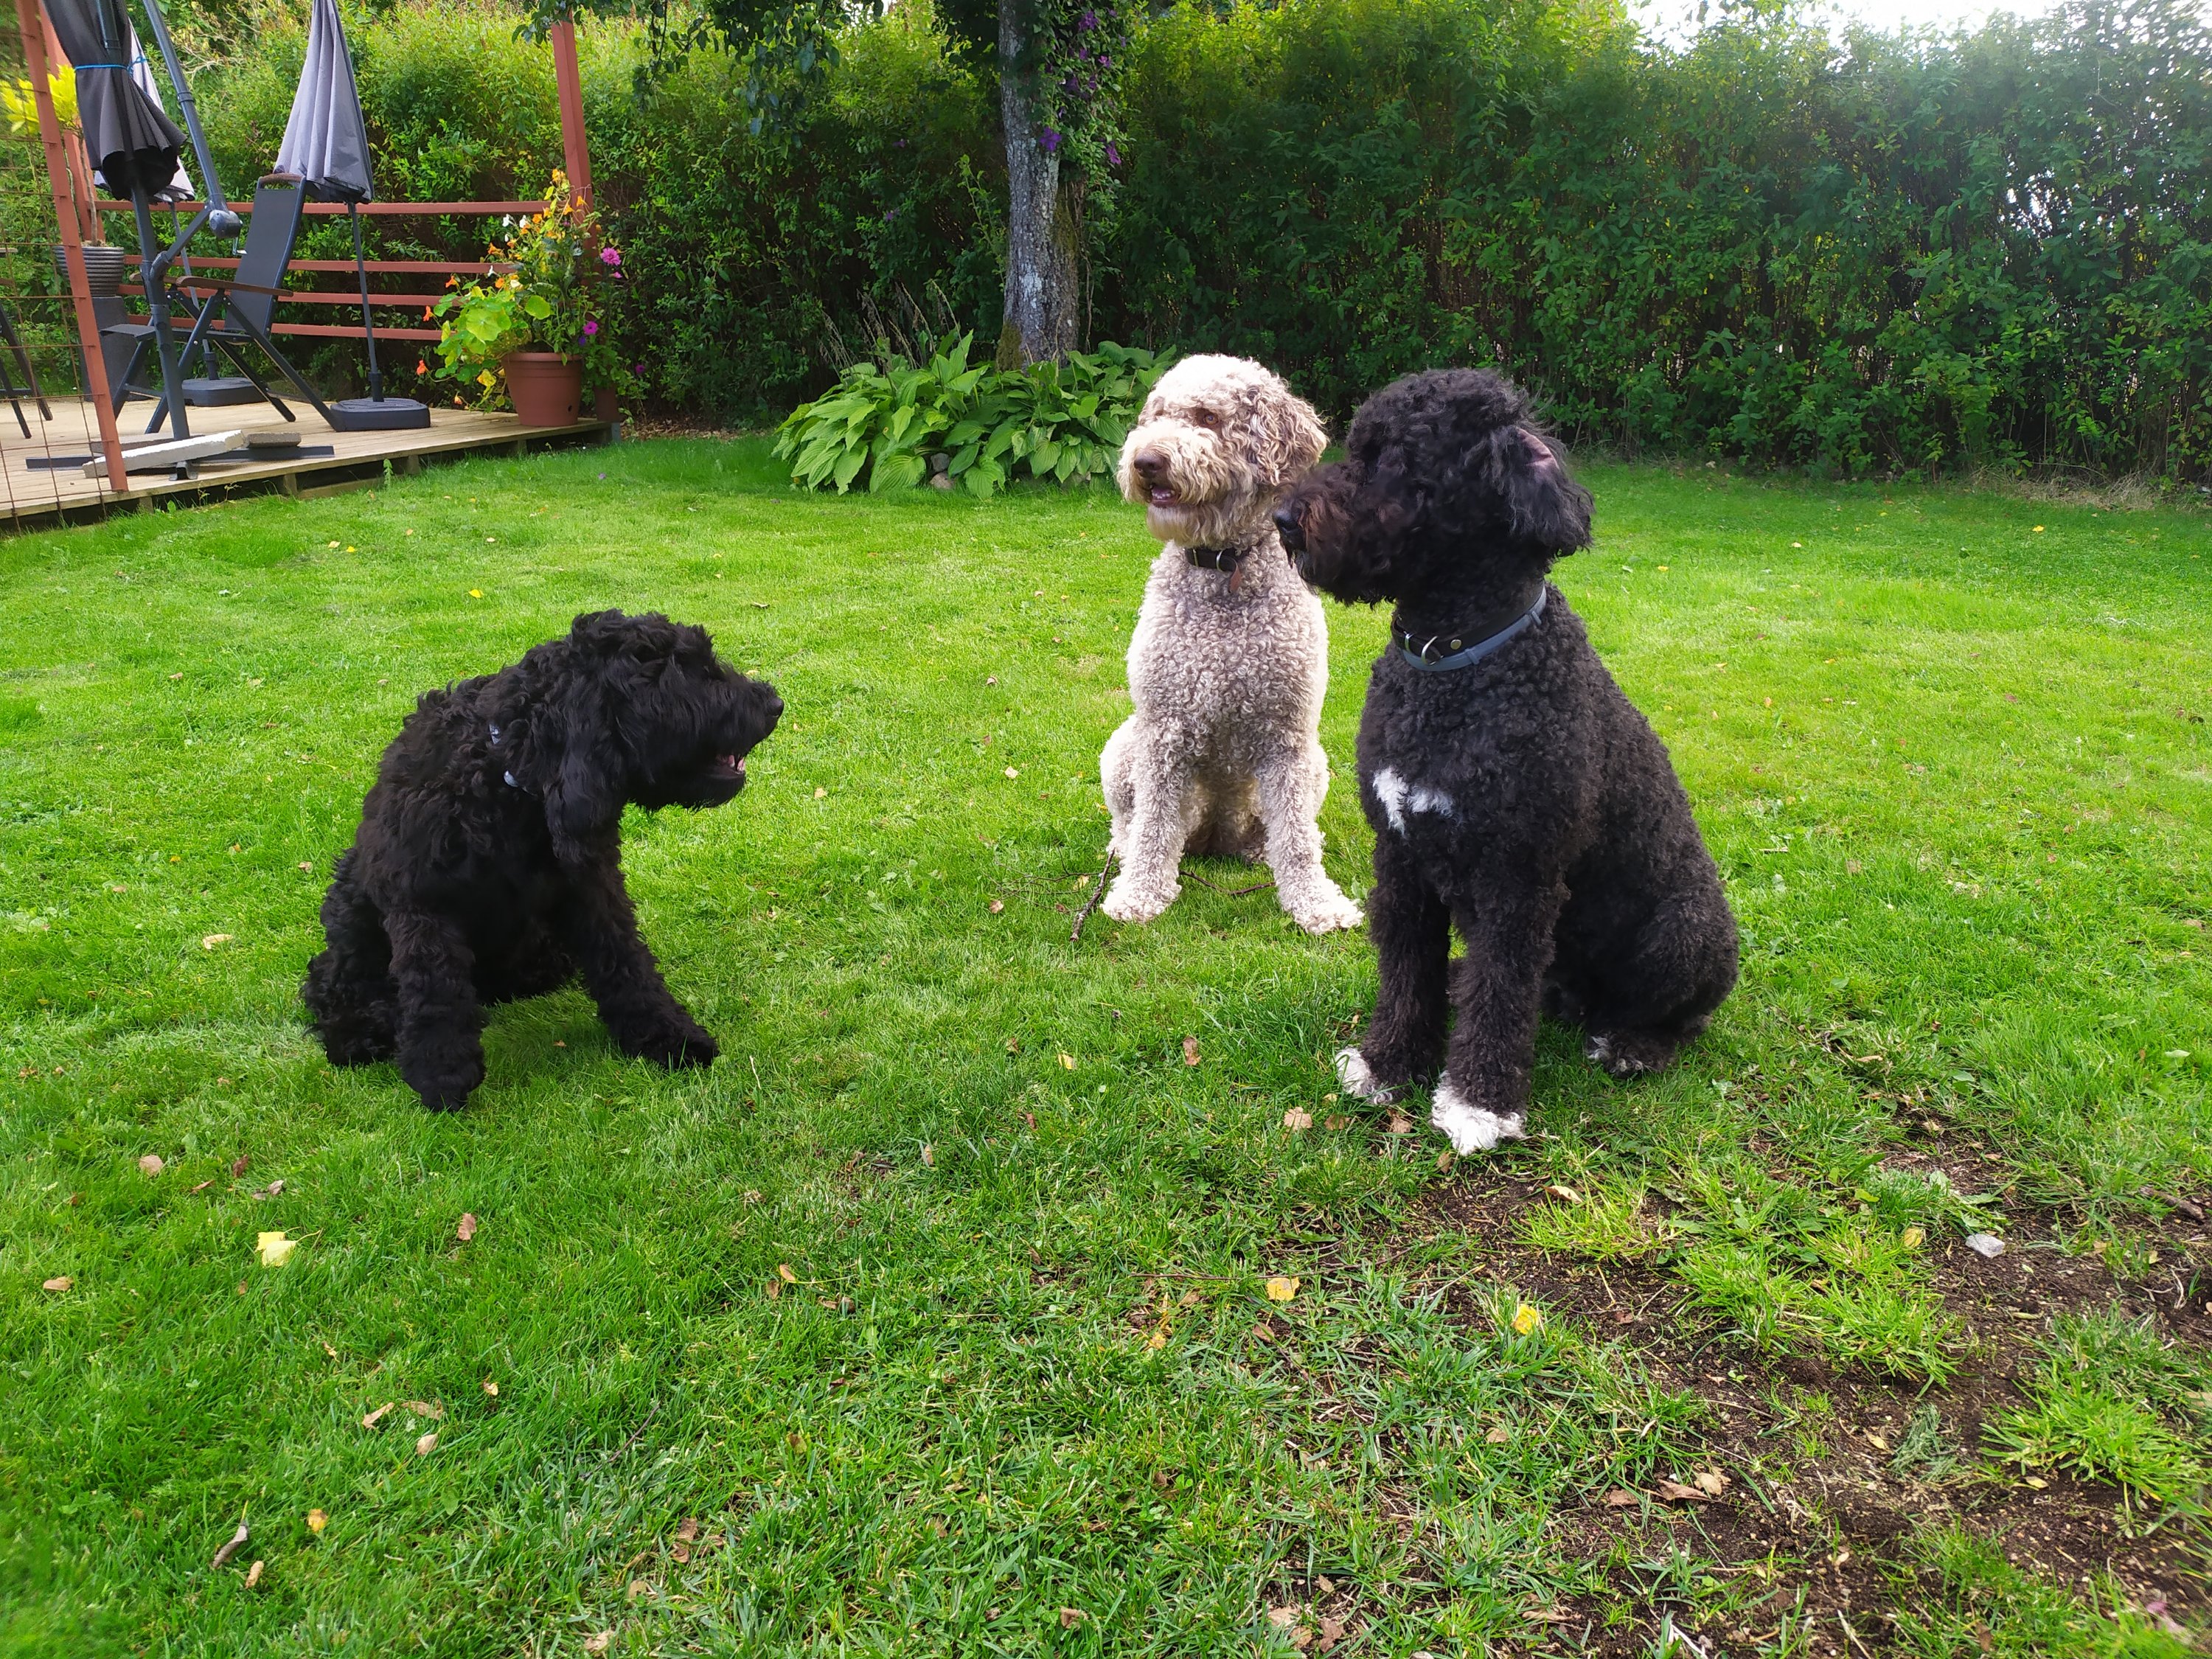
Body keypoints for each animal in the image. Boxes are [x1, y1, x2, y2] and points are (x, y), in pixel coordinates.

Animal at [302, 610, 782, 1111]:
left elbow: (627, 962)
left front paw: (668, 1035)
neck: (507, 779)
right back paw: (356, 1031)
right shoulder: (422, 904)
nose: (775, 703)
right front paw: (441, 1074)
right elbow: (434, 991)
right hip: (351, 904)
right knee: (330, 977)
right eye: (689, 672)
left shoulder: (592, 886)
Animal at [1100, 354, 1364, 935]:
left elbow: (1297, 838)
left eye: (1207, 417)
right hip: (1123, 748)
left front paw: (1316, 903)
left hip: (1315, 762)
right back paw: (1125, 853)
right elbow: (1154, 825)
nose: (1146, 461)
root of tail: (1217, 835)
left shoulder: (1287, 738)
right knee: (1131, 822)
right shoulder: (1164, 728)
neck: (1222, 565)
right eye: (1157, 415)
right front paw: (1140, 894)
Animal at [1274, 369, 1738, 1153]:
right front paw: (1388, 1063)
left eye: (1395, 459)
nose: (1281, 518)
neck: (1452, 665)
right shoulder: (1401, 859)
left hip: (1684, 931)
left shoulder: (1516, 879)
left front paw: (1477, 1103)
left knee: (1680, 1016)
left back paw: (1633, 1045)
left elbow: (1498, 996)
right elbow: (1407, 975)